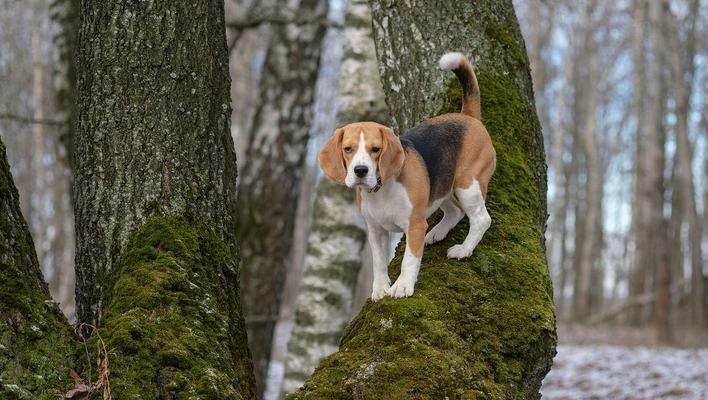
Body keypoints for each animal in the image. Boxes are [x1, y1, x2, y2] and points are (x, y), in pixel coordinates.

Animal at [318, 52, 496, 300]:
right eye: (348, 149)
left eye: (376, 149)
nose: (360, 170)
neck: (381, 189)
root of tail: (468, 117)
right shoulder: (376, 231)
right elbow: (379, 263)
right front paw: (380, 288)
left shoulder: (414, 225)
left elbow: (409, 259)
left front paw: (402, 286)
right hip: (442, 188)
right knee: (455, 211)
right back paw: (436, 233)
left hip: (468, 184)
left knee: (481, 219)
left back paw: (463, 249)